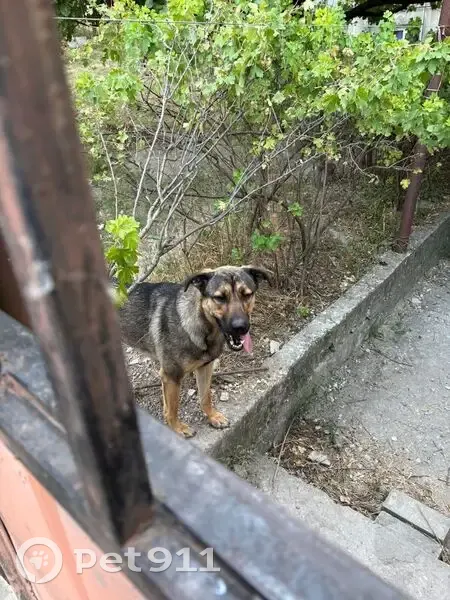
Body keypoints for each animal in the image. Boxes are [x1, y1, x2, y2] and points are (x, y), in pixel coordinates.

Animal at [118, 265, 271, 437]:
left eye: (247, 294)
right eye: (220, 298)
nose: (241, 327)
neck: (203, 327)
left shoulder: (204, 368)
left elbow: (205, 397)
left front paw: (212, 416)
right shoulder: (171, 376)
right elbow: (173, 409)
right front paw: (178, 428)